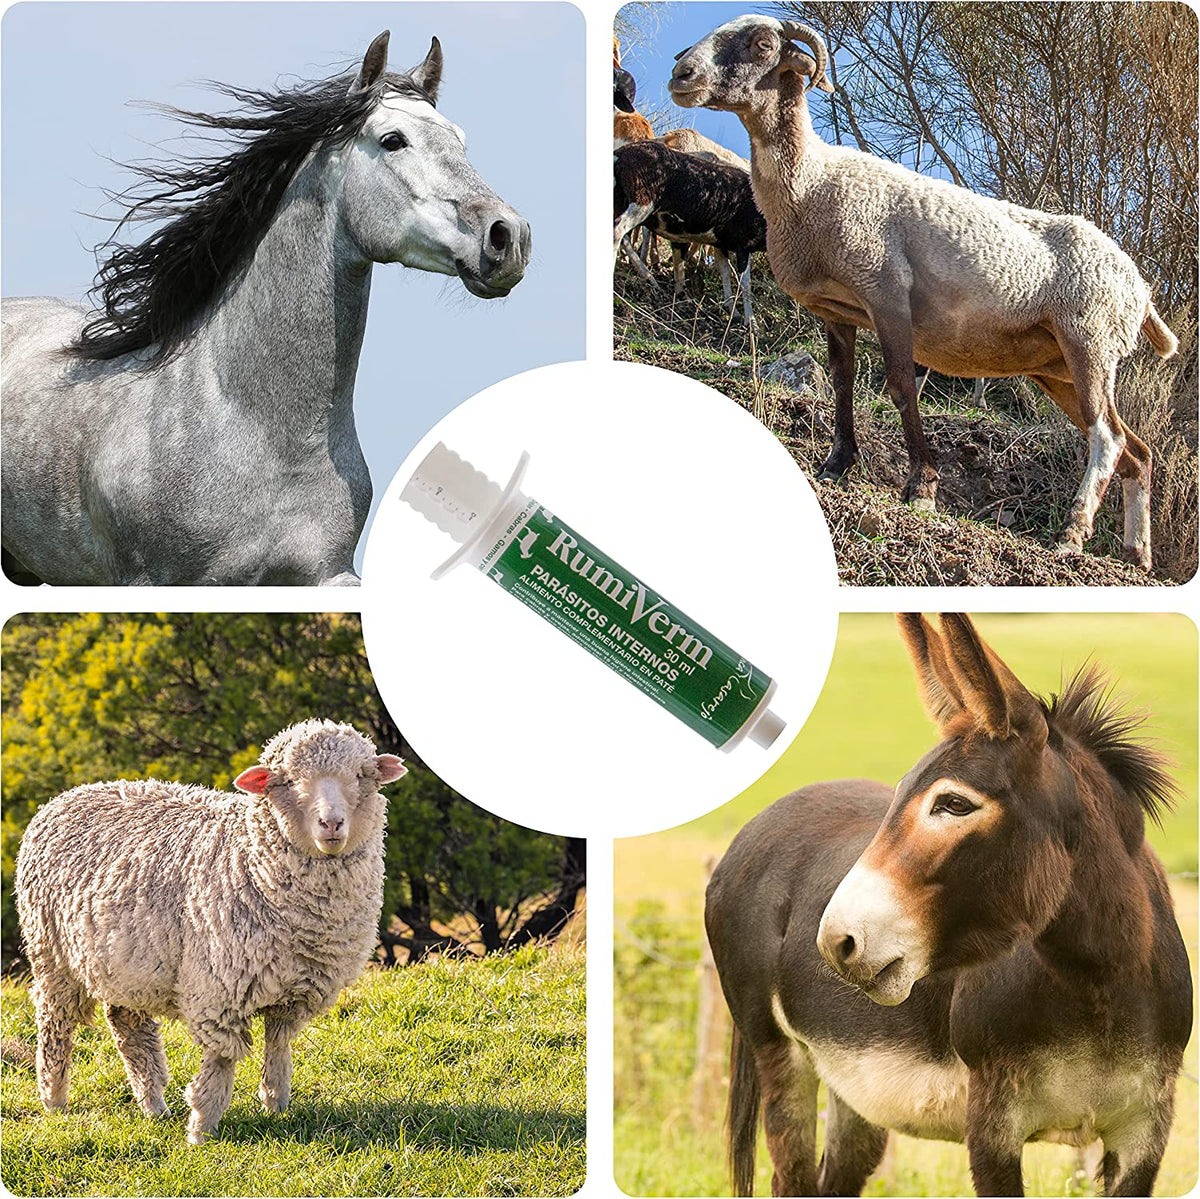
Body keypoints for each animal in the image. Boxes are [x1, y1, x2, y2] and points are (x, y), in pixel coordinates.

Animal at [14, 719, 407, 1144]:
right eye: (287, 781)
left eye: (361, 776)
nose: (331, 824)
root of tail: (65, 796)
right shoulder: (219, 989)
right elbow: (221, 1060)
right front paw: (202, 1129)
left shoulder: (297, 989)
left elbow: (279, 1044)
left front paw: (276, 1103)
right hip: (51, 953)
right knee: (55, 1022)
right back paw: (55, 1099)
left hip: (125, 962)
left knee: (129, 1028)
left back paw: (153, 1104)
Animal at [614, 140, 766, 327]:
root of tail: (619, 155)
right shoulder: (743, 243)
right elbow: (745, 283)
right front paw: (751, 322)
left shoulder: (721, 243)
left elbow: (724, 273)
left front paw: (732, 311)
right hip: (641, 200)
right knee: (618, 231)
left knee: (623, 236)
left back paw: (650, 277)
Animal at [670, 16, 1179, 570]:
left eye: (763, 45)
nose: (681, 74)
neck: (811, 180)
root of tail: (1141, 289)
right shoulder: (835, 309)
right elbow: (842, 382)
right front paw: (837, 464)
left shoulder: (886, 290)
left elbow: (898, 387)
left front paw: (921, 487)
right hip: (1057, 366)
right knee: (1136, 451)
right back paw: (1137, 553)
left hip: (1090, 337)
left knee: (1107, 438)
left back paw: (1072, 531)